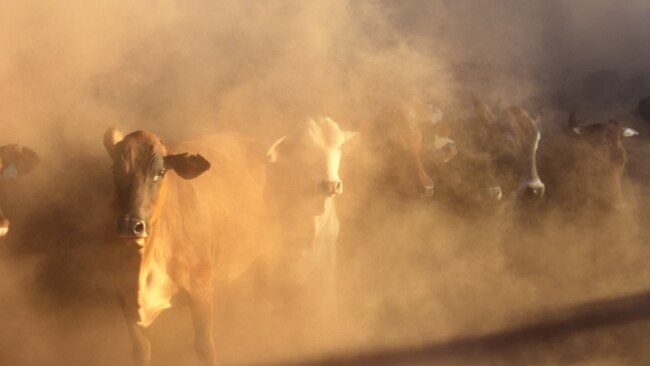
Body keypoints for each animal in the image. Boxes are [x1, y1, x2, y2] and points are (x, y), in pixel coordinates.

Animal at [103, 127, 268, 364]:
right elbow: (141, 348)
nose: (130, 225)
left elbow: (205, 347)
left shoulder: (201, 288)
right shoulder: (121, 290)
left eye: (161, 172)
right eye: (115, 169)